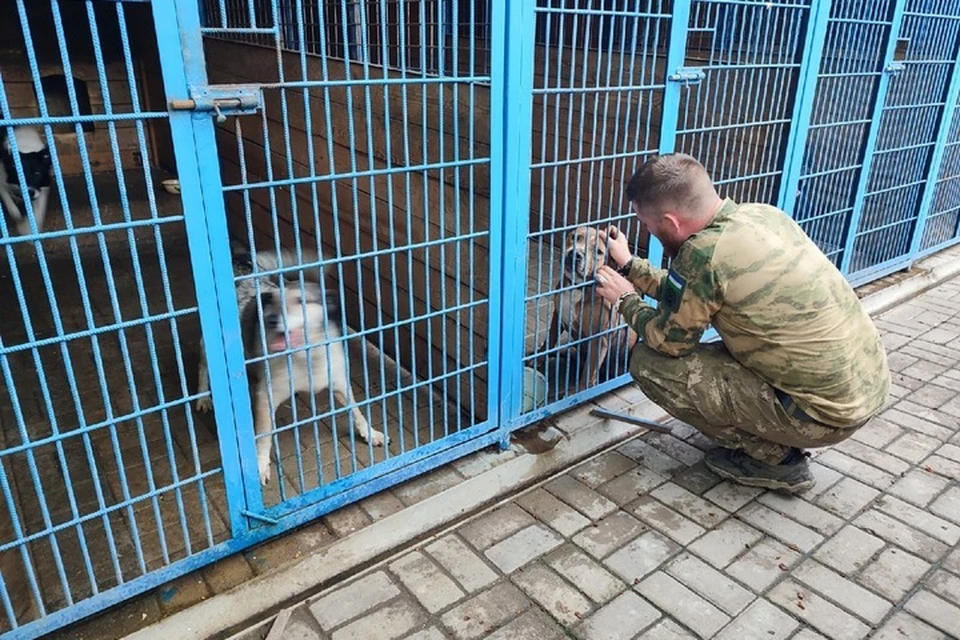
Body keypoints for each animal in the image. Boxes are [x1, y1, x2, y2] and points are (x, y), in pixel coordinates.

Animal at [194, 245, 382, 484]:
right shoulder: (266, 398)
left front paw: (370, 433)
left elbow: (357, 411)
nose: (272, 320)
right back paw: (202, 397)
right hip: (210, 346)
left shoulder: (339, 382)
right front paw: (260, 464)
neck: (307, 355)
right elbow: (264, 435)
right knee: (203, 366)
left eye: (301, 301)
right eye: (272, 302)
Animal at [532, 228, 636, 388]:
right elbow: (549, 340)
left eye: (598, 251)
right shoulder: (557, 316)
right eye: (575, 237)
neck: (577, 288)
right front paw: (538, 359)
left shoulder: (599, 339)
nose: (576, 254)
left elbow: (588, 374)